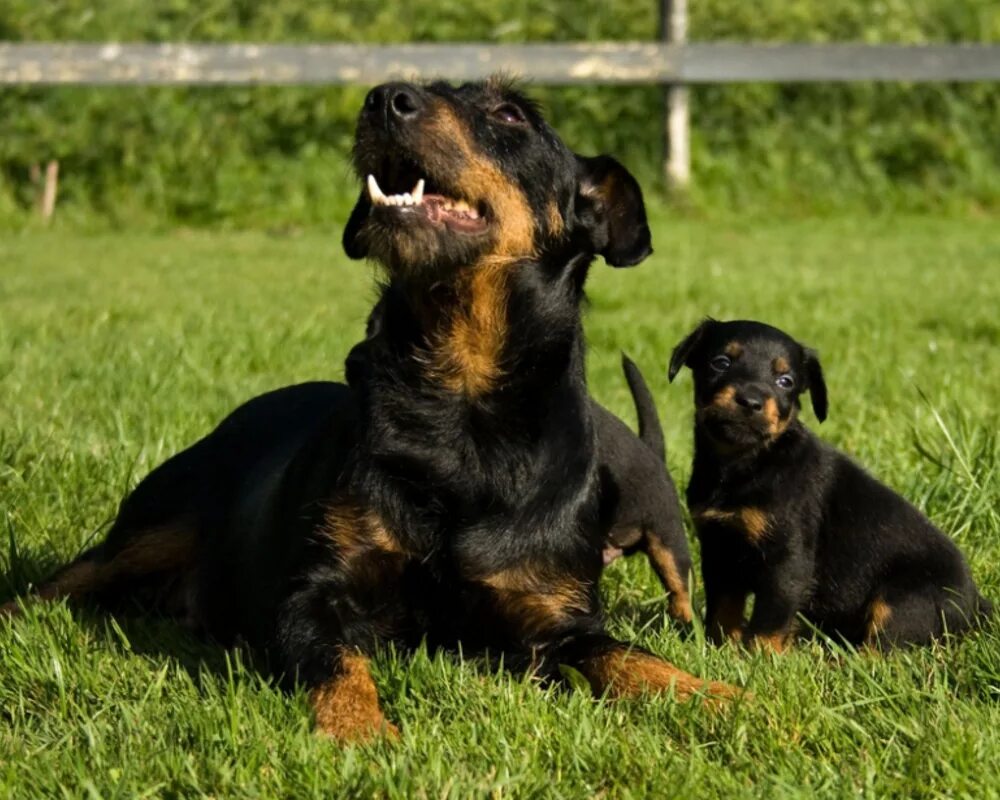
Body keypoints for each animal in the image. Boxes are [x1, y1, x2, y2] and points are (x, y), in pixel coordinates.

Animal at [3, 78, 736, 740]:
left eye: (510, 114)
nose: (385, 98)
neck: (461, 399)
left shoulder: (553, 615)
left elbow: (629, 655)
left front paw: (718, 695)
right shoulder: (314, 595)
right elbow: (340, 664)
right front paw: (361, 733)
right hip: (154, 525)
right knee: (61, 583)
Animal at [668, 318, 988, 648]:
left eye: (786, 381)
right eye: (720, 363)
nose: (751, 401)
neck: (745, 463)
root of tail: (976, 605)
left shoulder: (787, 558)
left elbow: (771, 616)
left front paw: (758, 654)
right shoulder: (719, 548)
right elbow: (724, 607)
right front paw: (719, 647)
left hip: (906, 600)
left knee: (883, 645)